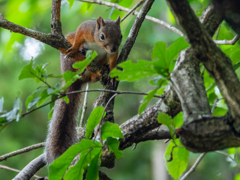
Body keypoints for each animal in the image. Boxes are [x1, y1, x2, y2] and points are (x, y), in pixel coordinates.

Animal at [44, 16, 122, 164]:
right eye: (102, 36)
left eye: (120, 36)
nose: (113, 48)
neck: (99, 45)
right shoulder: (87, 30)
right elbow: (80, 33)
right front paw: (75, 48)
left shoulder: (112, 54)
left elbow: (113, 59)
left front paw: (113, 71)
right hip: (69, 62)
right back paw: (80, 51)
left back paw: (99, 74)